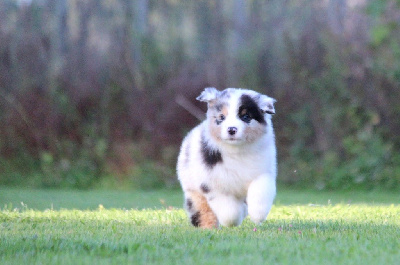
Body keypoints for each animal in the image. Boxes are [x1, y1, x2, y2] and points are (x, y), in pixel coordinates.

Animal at [177, 87, 276, 227]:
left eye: (246, 117)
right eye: (221, 117)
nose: (231, 129)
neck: (236, 150)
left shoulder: (263, 172)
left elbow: (260, 191)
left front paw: (258, 215)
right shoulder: (213, 184)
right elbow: (229, 212)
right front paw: (233, 220)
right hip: (192, 188)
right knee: (202, 210)